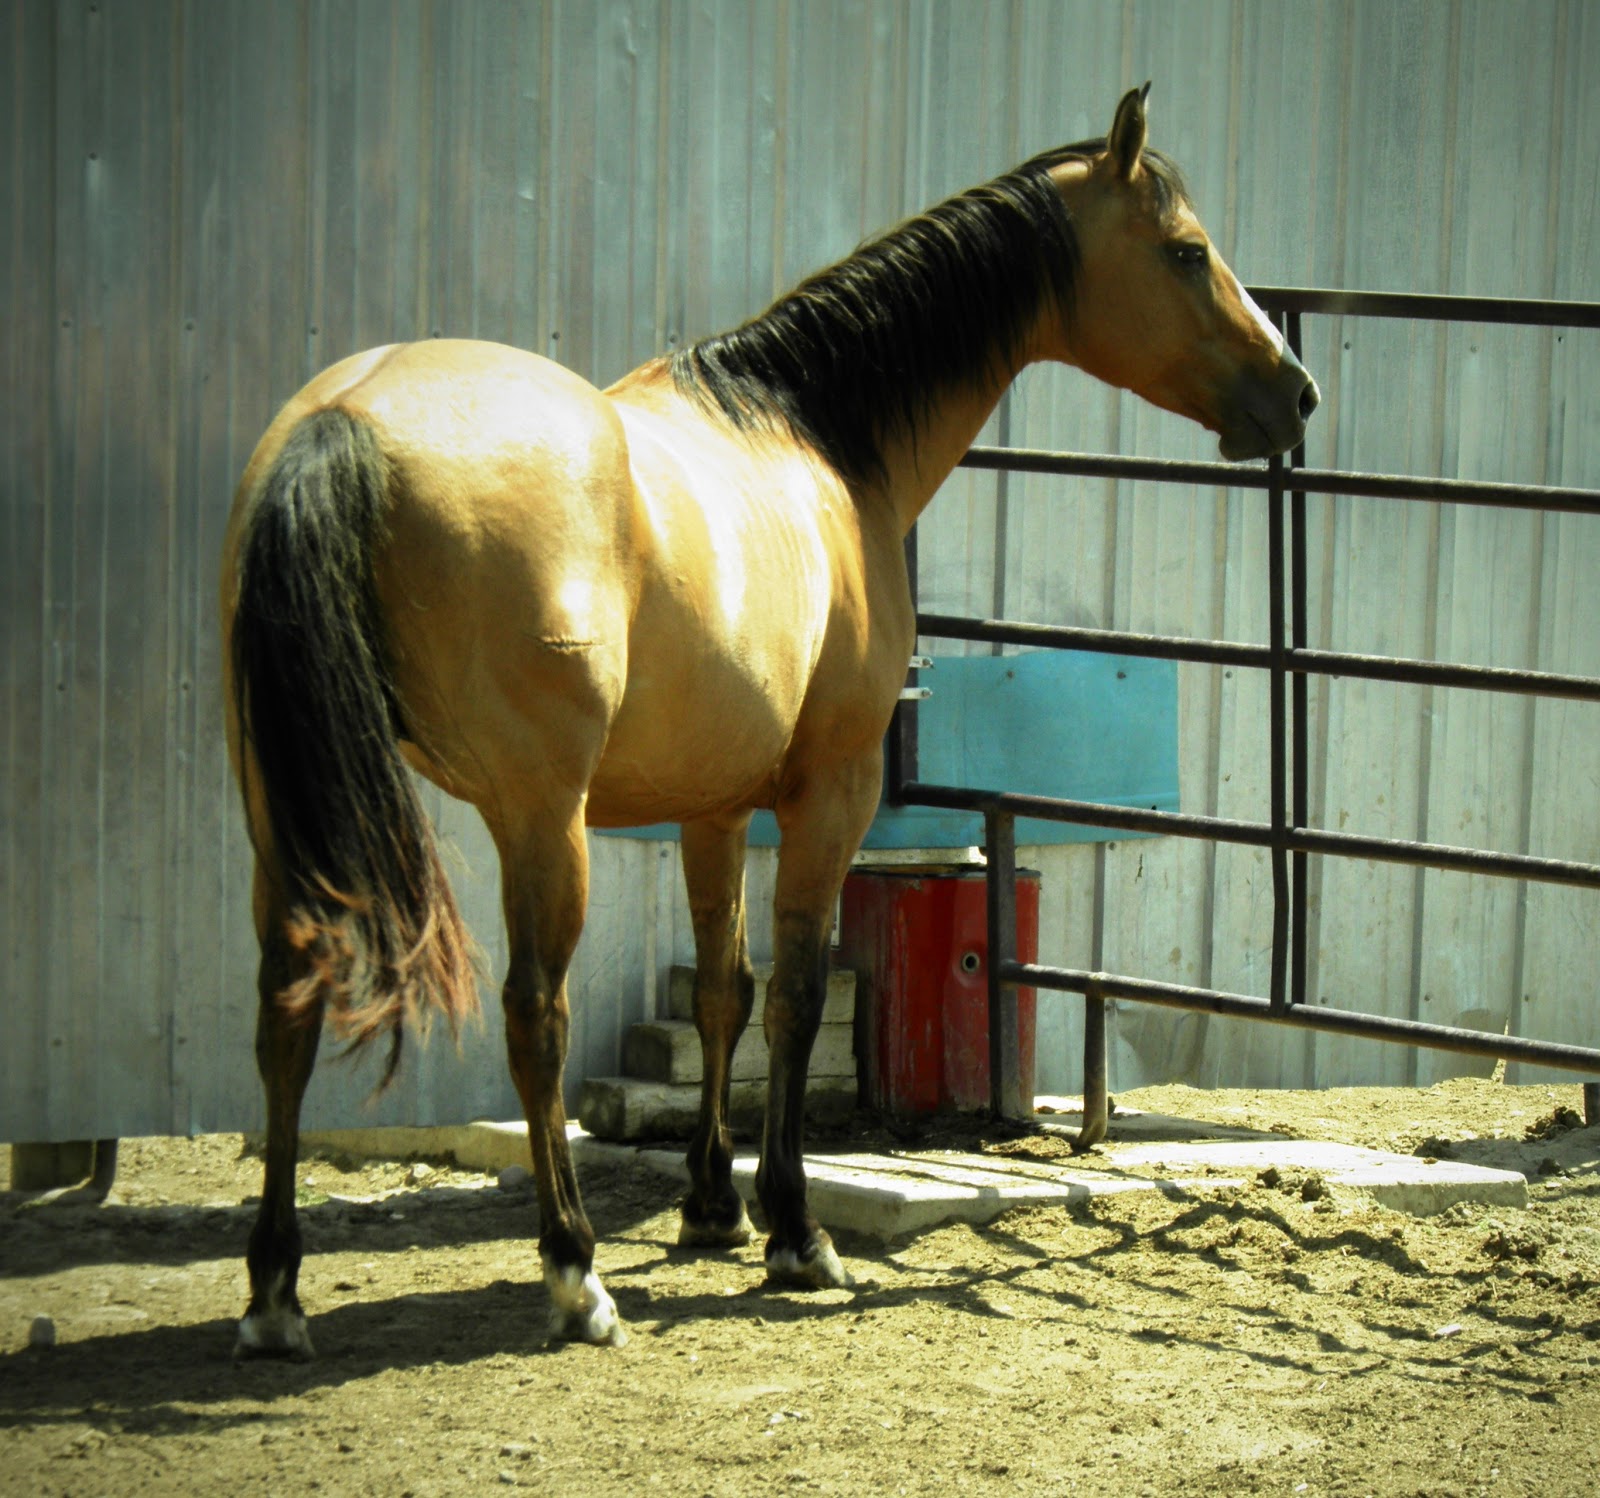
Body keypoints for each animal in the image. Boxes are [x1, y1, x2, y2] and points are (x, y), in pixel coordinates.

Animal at [221, 84, 1318, 1358]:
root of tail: (342, 418)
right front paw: (794, 1228)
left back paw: (275, 1291)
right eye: (1186, 252)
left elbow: (721, 991)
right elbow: (795, 991)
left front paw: (712, 1206)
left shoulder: (711, 806)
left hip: (280, 811)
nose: (1294, 392)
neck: (812, 434)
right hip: (541, 819)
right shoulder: (828, 791)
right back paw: (572, 1271)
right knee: (535, 1015)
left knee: (288, 1000)